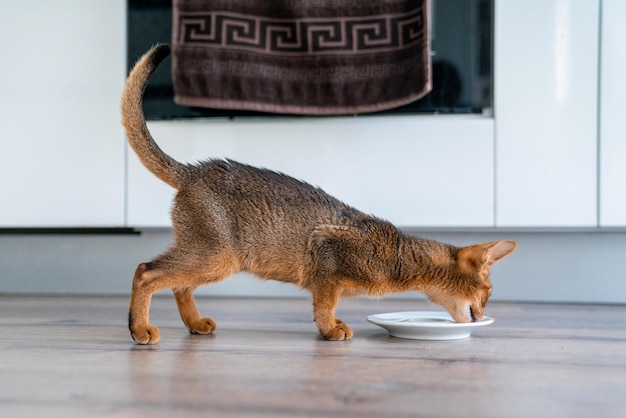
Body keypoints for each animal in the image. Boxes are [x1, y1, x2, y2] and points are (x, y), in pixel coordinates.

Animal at [119, 44, 516, 344]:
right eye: (486, 293)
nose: (483, 315)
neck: (400, 255)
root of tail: (194, 170)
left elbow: (331, 302)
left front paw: (333, 325)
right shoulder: (326, 251)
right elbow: (325, 303)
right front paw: (329, 330)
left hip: (211, 257)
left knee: (178, 285)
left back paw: (195, 324)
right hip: (217, 255)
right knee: (145, 272)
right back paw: (139, 329)